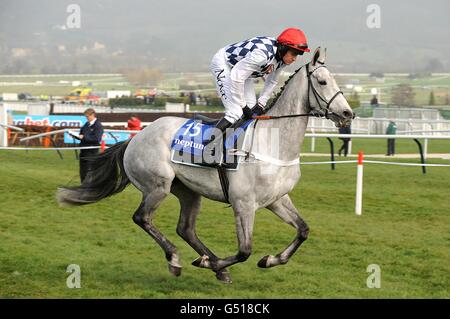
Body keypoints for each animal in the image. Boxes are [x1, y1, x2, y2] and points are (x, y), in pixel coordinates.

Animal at [56, 47, 354, 282]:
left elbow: (303, 230)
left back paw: (213, 267)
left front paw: (268, 260)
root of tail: (135, 138)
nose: (348, 113)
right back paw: (177, 259)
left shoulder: (277, 199)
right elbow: (244, 250)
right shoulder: (243, 204)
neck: (274, 143)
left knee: (185, 229)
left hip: (188, 191)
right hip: (158, 185)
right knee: (143, 218)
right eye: (322, 81)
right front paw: (214, 262)